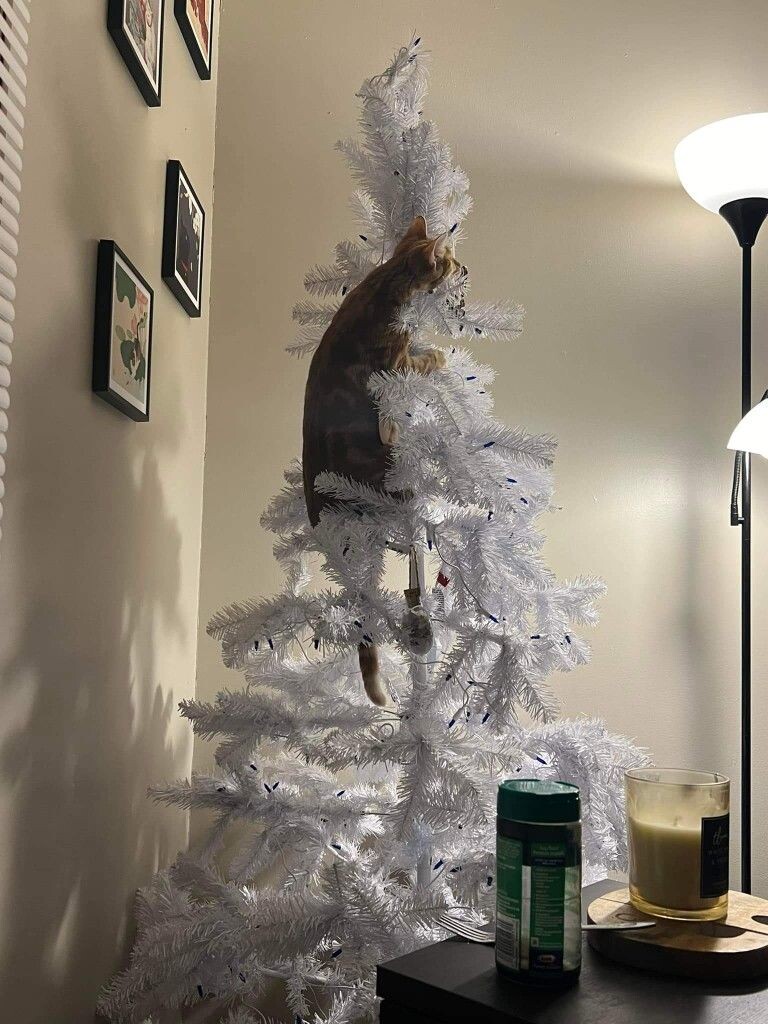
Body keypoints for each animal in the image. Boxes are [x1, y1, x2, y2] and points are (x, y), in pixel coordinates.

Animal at [302, 216, 461, 706]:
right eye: (450, 262)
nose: (464, 267)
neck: (384, 282)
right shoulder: (396, 360)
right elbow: (422, 359)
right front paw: (439, 353)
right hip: (385, 480)